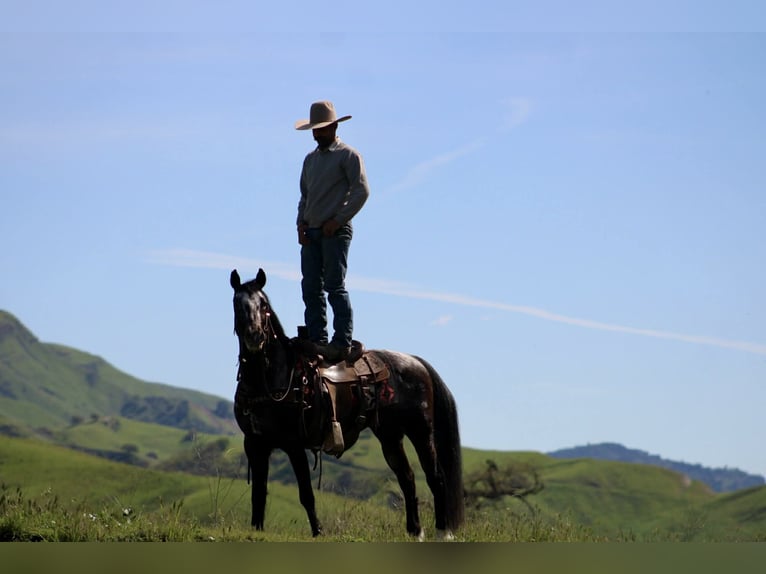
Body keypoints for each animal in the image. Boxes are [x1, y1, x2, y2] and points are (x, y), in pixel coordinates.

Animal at [229, 268, 464, 539]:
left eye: (264, 305)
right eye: (237, 304)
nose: (254, 336)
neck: (272, 378)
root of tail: (416, 361)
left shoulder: (293, 444)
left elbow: (306, 494)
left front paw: (318, 532)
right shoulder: (255, 444)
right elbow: (258, 494)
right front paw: (257, 529)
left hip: (421, 431)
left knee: (435, 477)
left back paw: (443, 532)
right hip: (390, 435)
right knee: (407, 478)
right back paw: (415, 532)